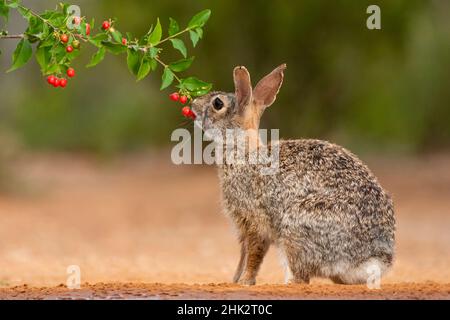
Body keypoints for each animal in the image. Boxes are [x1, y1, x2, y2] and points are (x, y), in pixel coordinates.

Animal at [190, 64, 394, 284]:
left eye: (218, 103)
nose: (193, 105)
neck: (244, 151)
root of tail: (372, 258)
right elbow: (243, 255)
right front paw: (235, 280)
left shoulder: (254, 222)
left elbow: (253, 255)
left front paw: (245, 282)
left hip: (297, 227)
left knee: (301, 277)